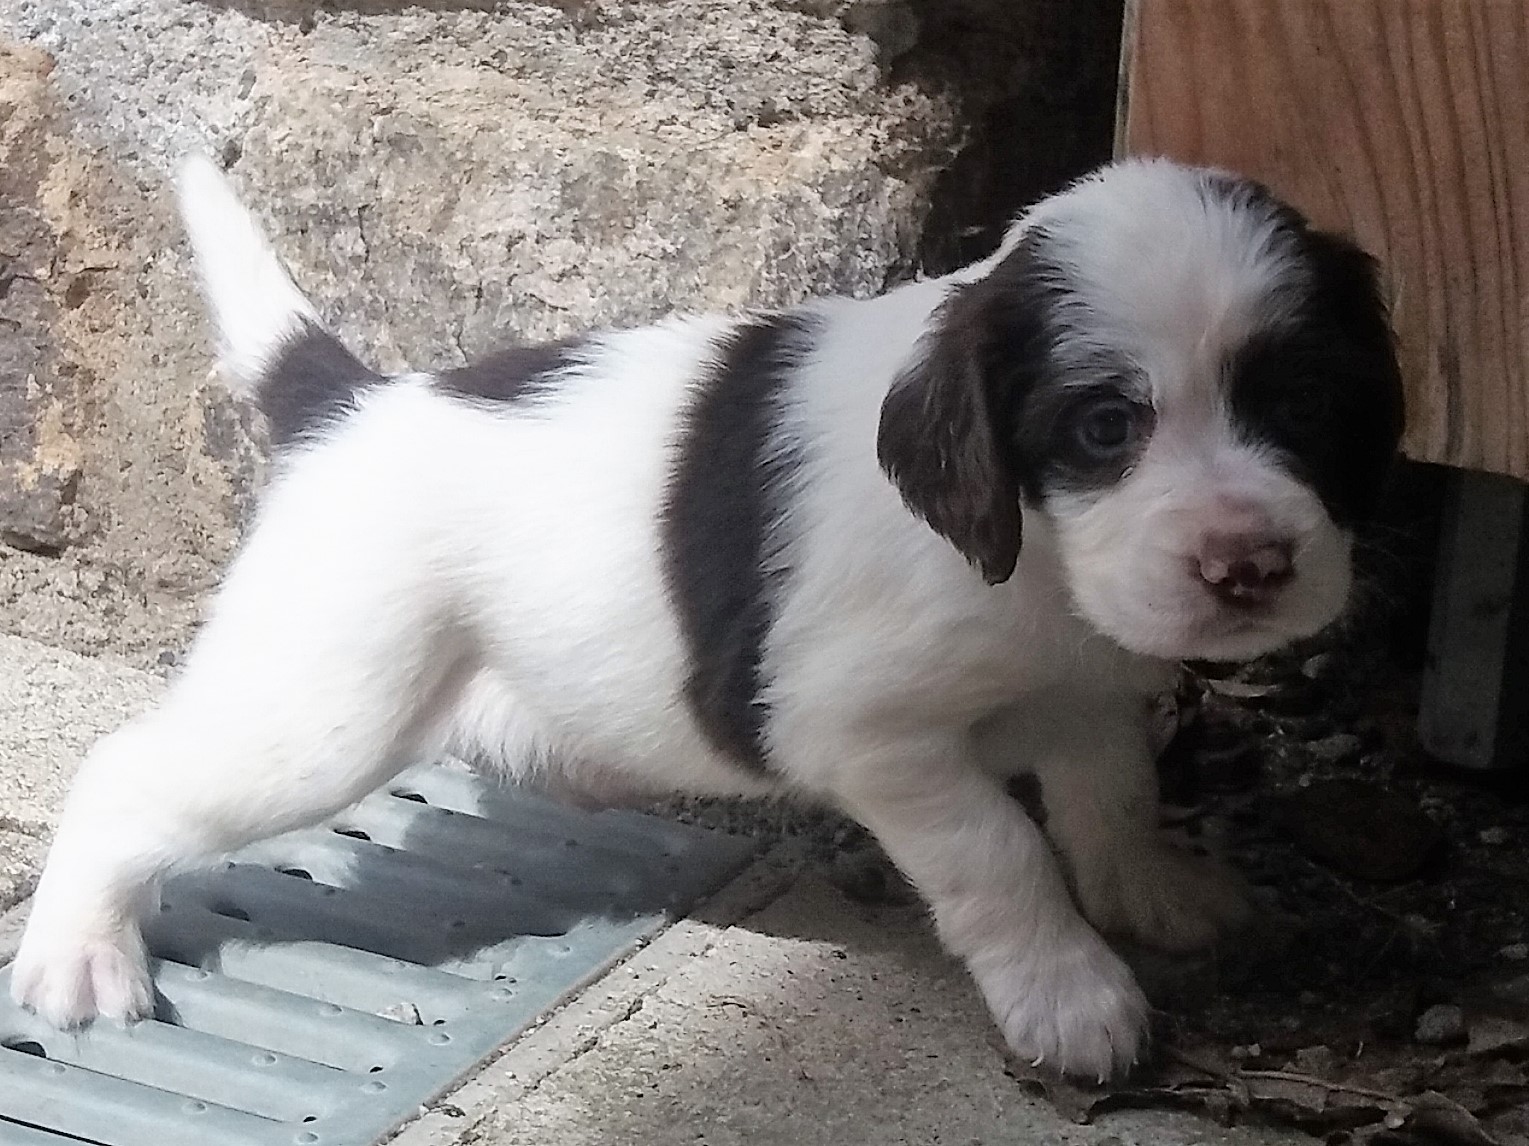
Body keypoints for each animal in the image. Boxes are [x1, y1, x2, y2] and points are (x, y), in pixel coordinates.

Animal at [10, 154, 1404, 1081]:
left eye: (1302, 404)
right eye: (1105, 426)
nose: (1248, 566)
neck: (1036, 570)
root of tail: (350, 404)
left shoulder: (1088, 691)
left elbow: (1109, 797)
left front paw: (1152, 895)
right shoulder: (868, 735)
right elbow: (1000, 856)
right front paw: (1069, 996)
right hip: (323, 713)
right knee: (126, 773)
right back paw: (78, 953)